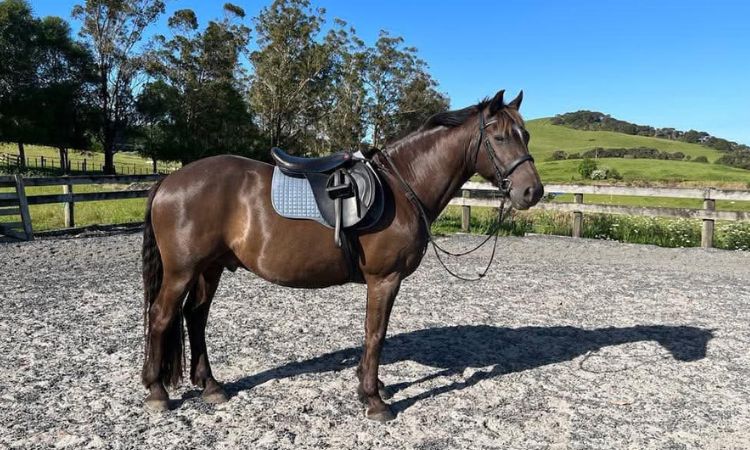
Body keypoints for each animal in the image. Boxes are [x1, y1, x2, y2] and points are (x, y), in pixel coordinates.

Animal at [140, 89, 544, 421]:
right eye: (500, 137)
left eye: (525, 135)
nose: (532, 192)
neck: (402, 186)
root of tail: (169, 180)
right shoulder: (384, 279)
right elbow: (375, 333)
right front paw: (374, 400)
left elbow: (373, 335)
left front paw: (372, 386)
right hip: (182, 271)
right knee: (162, 316)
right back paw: (157, 391)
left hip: (210, 268)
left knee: (195, 316)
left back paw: (210, 386)